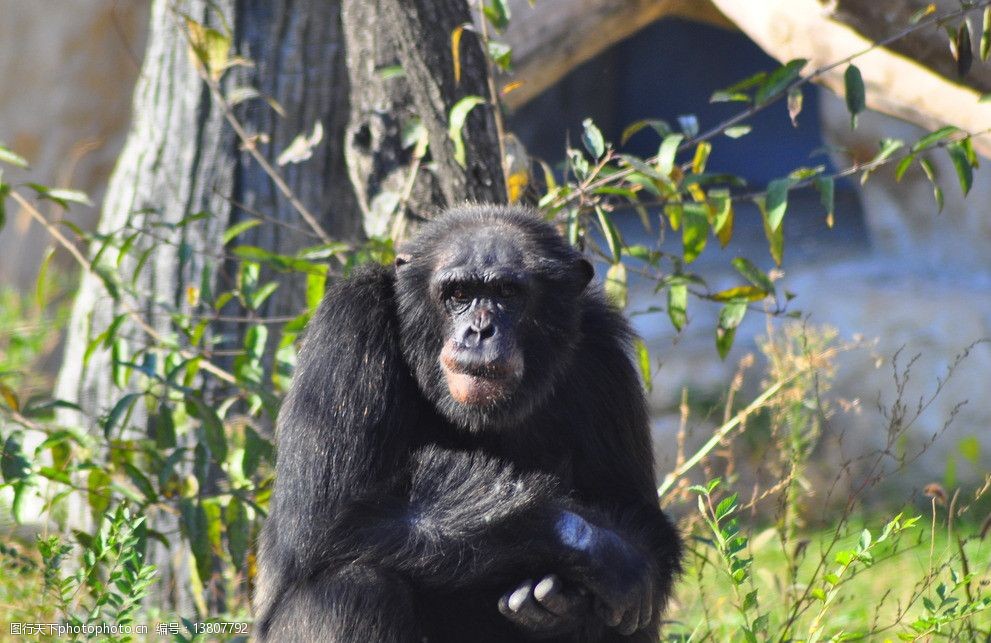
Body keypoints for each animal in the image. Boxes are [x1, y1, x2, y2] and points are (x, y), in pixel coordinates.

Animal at [252, 204, 680, 640]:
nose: (479, 330)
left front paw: (565, 602)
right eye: (458, 293)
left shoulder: (605, 356)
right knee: (355, 588)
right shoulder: (349, 325)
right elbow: (325, 518)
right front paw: (604, 550)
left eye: (507, 292)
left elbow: (636, 512)